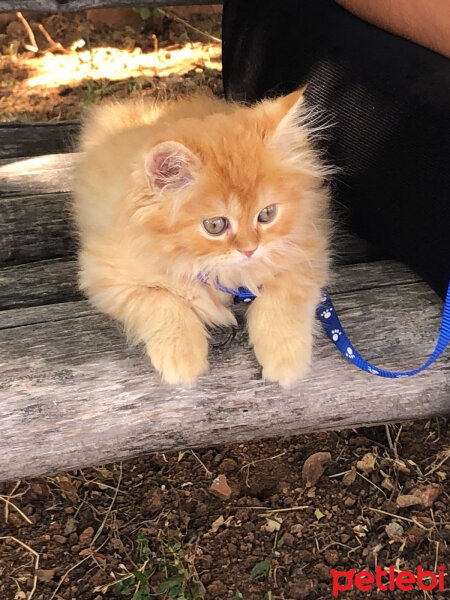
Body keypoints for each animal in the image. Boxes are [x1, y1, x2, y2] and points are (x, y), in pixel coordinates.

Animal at [71, 89, 330, 390]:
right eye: (215, 225)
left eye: (267, 214)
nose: (250, 249)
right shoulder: (103, 275)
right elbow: (163, 302)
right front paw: (182, 357)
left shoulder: (308, 250)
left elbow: (283, 301)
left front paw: (286, 358)